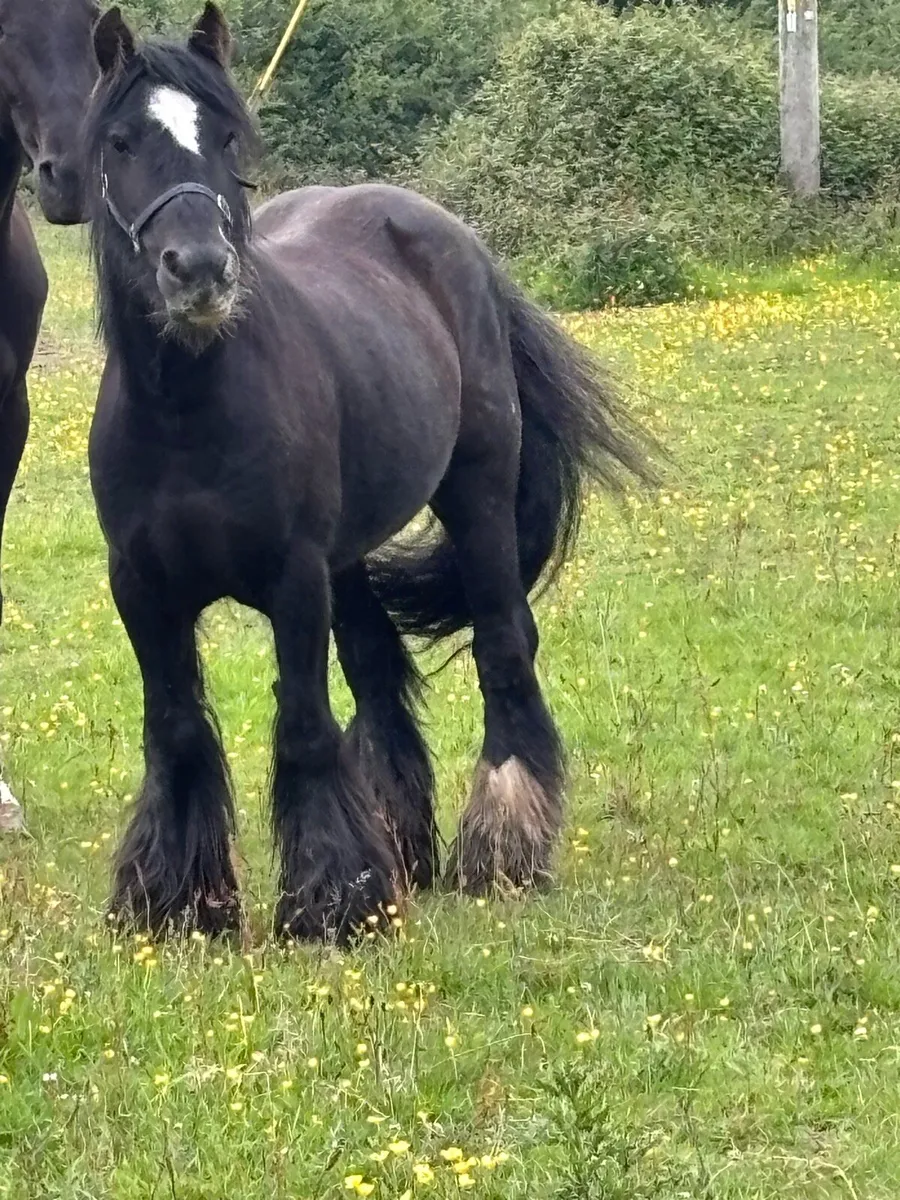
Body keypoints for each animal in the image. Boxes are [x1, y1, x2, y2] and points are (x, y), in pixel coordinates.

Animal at [84, 4, 651, 942]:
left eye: (226, 137)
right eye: (122, 142)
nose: (198, 270)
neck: (189, 413)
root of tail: (451, 239)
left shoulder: (293, 579)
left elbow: (306, 728)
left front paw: (328, 902)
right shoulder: (142, 587)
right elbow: (176, 731)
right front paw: (177, 902)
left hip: (476, 496)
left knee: (503, 644)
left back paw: (503, 848)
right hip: (349, 556)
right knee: (379, 674)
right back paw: (401, 848)